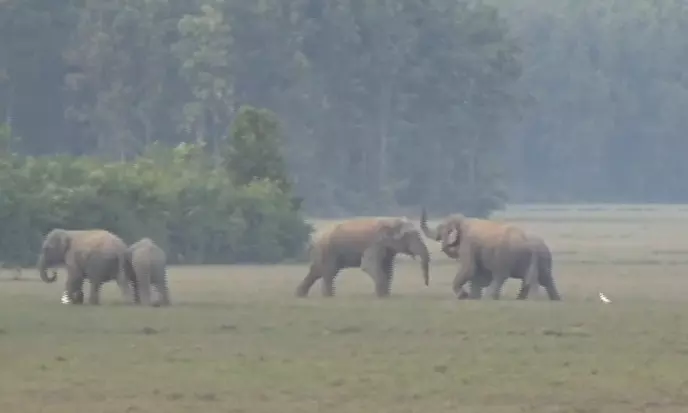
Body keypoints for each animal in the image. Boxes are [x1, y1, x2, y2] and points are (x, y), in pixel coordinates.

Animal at [295, 217, 430, 298]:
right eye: (409, 236)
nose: (426, 284)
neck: (390, 220)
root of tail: (313, 239)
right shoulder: (374, 244)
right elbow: (368, 266)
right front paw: (381, 296)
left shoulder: (386, 248)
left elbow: (388, 269)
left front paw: (385, 295)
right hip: (327, 249)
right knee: (328, 272)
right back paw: (329, 296)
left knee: (317, 271)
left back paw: (300, 295)